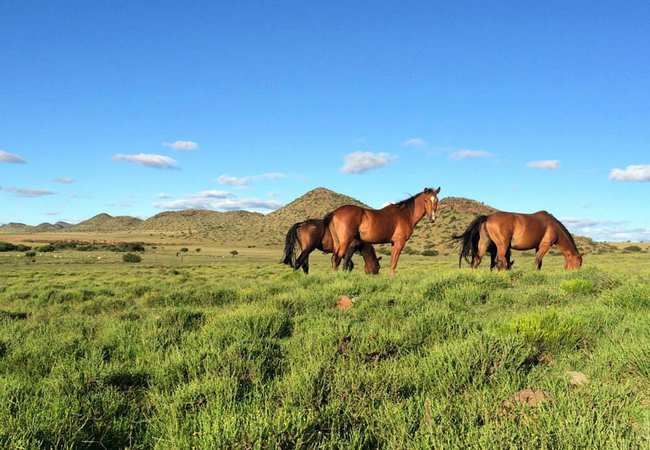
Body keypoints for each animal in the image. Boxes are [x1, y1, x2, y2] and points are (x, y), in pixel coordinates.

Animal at [453, 211, 583, 270]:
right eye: (579, 263)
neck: (553, 226)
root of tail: (488, 217)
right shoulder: (545, 246)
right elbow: (537, 261)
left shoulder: (538, 246)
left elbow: (539, 263)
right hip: (503, 245)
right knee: (500, 261)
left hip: (484, 244)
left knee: (476, 261)